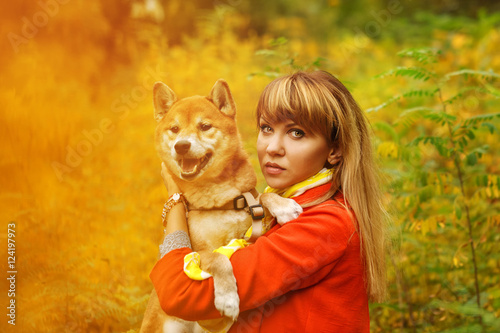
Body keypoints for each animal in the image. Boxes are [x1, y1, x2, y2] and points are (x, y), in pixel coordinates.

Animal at [142, 79, 304, 330]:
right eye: (175, 129)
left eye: (205, 126)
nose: (181, 145)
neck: (218, 200)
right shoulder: (197, 253)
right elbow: (219, 258)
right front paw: (227, 297)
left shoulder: (252, 215)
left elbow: (263, 197)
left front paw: (284, 206)